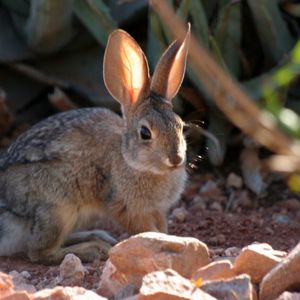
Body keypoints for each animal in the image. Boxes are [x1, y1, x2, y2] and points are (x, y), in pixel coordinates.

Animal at [0, 26, 191, 264]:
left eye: (181, 126)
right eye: (145, 133)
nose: (176, 158)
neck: (132, 161)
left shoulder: (157, 210)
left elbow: (161, 227)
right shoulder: (127, 208)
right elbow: (146, 230)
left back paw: (99, 236)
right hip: (57, 208)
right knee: (38, 252)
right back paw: (93, 248)